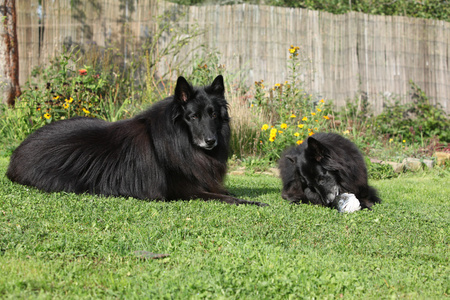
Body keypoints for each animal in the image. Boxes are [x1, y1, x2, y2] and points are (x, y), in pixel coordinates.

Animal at [6, 75, 268, 206]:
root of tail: (17, 152)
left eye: (213, 115)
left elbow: (225, 191)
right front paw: (256, 203)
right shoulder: (183, 192)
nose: (210, 141)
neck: (178, 139)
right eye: (193, 116)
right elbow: (228, 198)